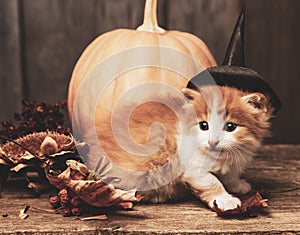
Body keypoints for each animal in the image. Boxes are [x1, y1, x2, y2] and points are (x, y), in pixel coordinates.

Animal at [92, 85, 274, 210]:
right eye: (203, 126)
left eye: (230, 127)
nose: (213, 142)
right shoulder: (192, 167)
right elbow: (212, 182)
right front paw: (225, 199)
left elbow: (230, 174)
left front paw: (237, 184)